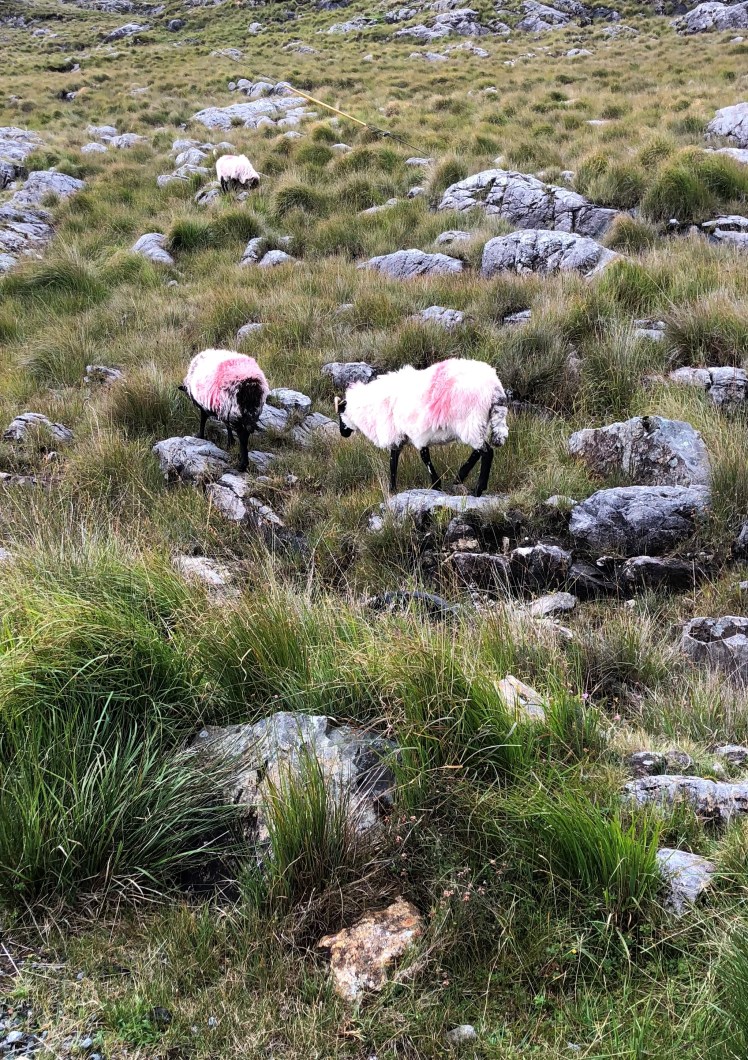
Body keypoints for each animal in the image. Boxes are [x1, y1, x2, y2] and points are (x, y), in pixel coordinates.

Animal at [334, 357, 508, 497]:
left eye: (340, 413)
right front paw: (393, 488)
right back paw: (460, 477)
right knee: (478, 451)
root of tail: (494, 387)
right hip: (479, 424)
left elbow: (420, 457)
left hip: (470, 421)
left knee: (486, 452)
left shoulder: (409, 432)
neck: (370, 407)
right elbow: (395, 459)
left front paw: (434, 484)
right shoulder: (401, 435)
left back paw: (478, 489)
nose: (343, 433)